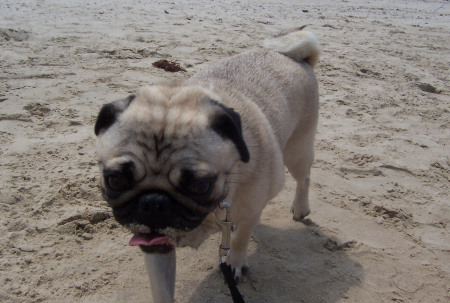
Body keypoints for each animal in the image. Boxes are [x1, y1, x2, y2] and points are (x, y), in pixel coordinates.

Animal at [94, 29, 320, 303]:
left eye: (200, 185)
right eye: (115, 180)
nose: (153, 202)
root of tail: (297, 56)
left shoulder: (249, 212)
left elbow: (240, 240)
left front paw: (235, 263)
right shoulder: (156, 248)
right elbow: (162, 289)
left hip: (297, 151)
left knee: (304, 177)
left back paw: (301, 208)